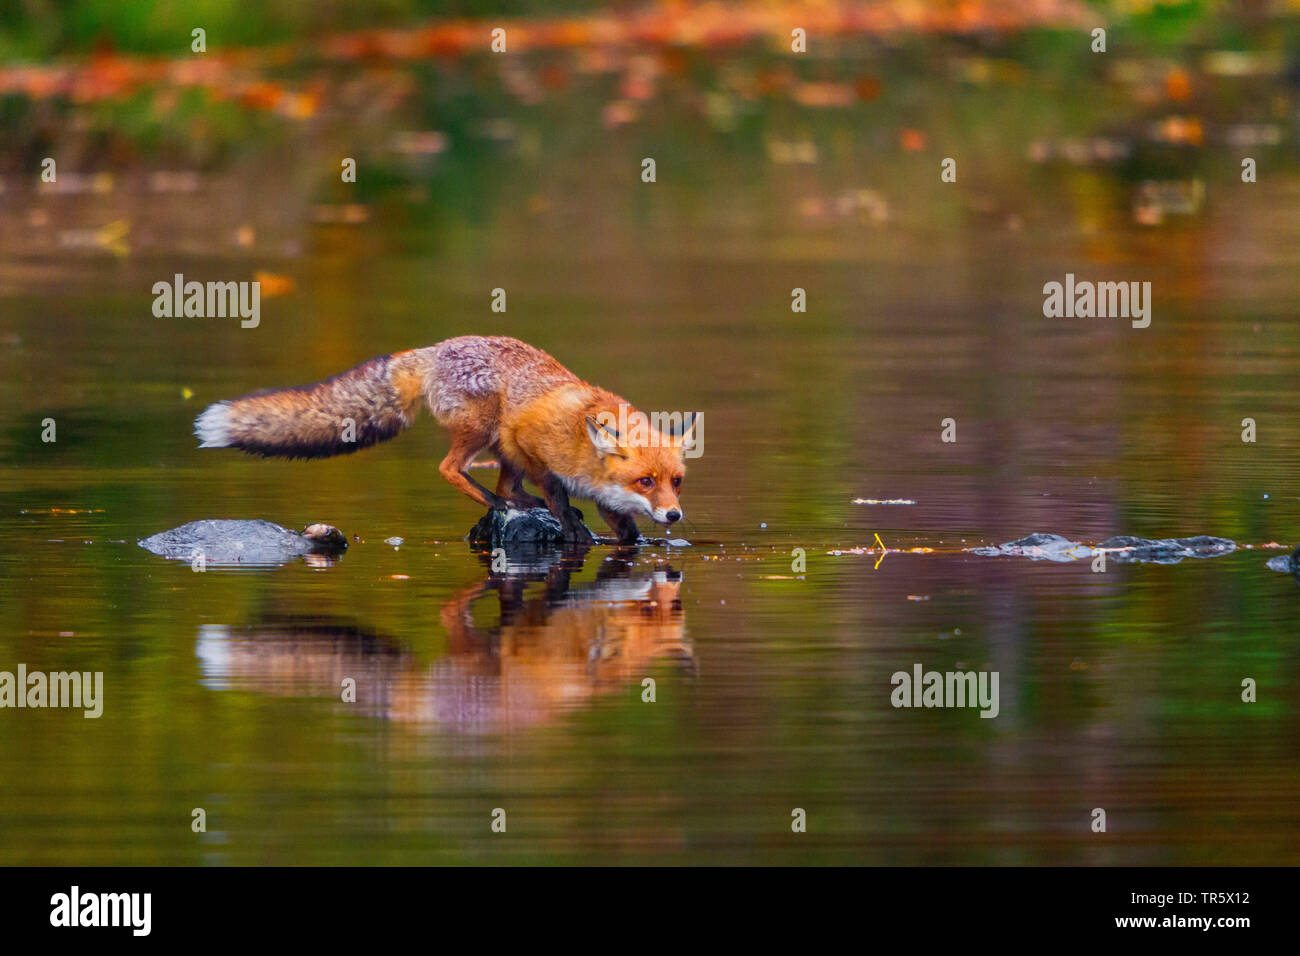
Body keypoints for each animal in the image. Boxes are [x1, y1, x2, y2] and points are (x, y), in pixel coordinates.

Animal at [193, 335, 696, 546]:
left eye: (676, 482)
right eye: (646, 481)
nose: (674, 515)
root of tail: (432, 350)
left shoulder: (602, 492)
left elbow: (622, 526)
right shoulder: (527, 440)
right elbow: (556, 491)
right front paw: (570, 524)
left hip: (496, 442)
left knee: (506, 483)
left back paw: (514, 503)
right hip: (488, 428)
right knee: (454, 470)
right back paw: (498, 504)